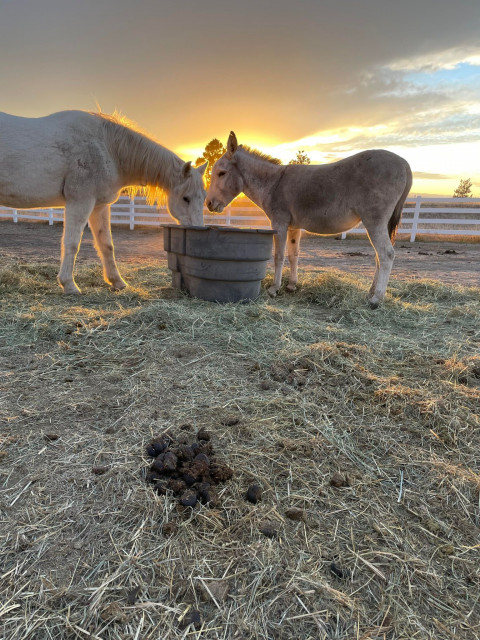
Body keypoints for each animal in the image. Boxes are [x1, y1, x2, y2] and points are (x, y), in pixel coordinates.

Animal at [0, 110, 206, 296]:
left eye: (203, 197)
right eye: (186, 198)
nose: (197, 229)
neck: (107, 148)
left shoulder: (99, 206)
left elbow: (106, 244)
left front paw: (117, 282)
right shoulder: (80, 202)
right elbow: (72, 243)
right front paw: (69, 285)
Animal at [206, 132, 412, 308]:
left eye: (221, 173)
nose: (208, 204)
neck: (274, 183)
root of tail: (404, 163)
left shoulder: (279, 224)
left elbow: (279, 256)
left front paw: (274, 289)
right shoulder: (294, 227)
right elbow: (293, 255)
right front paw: (291, 285)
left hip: (374, 221)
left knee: (386, 254)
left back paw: (376, 299)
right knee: (378, 256)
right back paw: (370, 293)